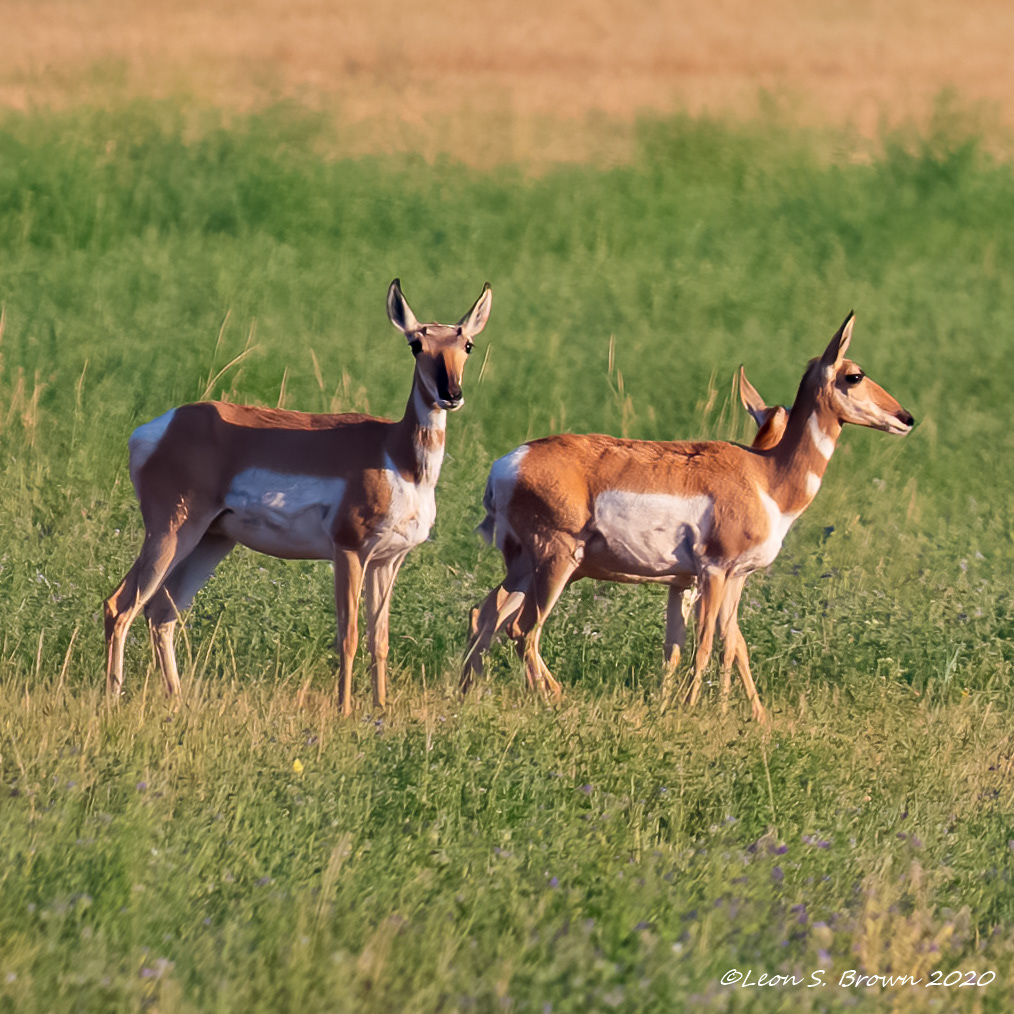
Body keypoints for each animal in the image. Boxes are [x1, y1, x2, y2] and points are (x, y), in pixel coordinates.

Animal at [104, 279, 492, 713]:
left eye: (467, 344)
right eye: (416, 344)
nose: (451, 393)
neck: (396, 454)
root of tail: (158, 428)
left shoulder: (388, 561)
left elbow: (379, 640)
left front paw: (381, 709)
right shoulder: (349, 552)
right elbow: (348, 636)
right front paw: (344, 711)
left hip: (211, 542)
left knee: (160, 612)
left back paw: (178, 700)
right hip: (170, 534)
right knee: (120, 606)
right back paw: (112, 699)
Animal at [461, 312, 913, 722]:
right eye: (854, 375)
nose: (906, 418)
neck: (766, 476)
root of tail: (510, 462)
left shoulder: (731, 578)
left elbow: (724, 644)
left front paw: (740, 715)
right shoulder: (711, 572)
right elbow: (706, 643)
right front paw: (691, 709)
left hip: (526, 566)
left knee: (486, 613)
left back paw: (471, 691)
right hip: (557, 563)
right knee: (523, 629)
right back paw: (553, 699)